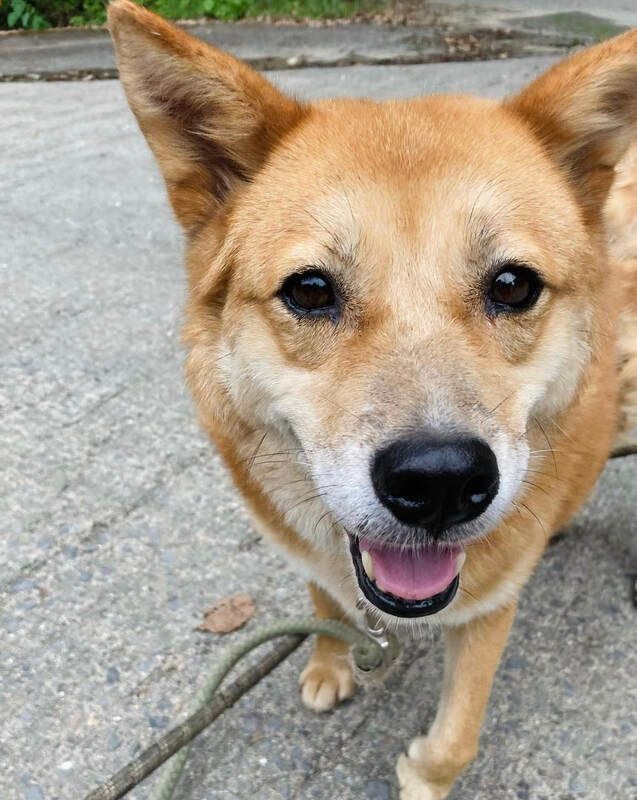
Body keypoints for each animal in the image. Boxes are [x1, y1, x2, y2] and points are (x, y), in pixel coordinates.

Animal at [107, 3, 632, 796]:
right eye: (309, 290)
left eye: (513, 285)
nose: (440, 481)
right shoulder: (313, 554)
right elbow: (324, 595)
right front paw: (329, 664)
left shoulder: (490, 606)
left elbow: (456, 738)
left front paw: (421, 774)